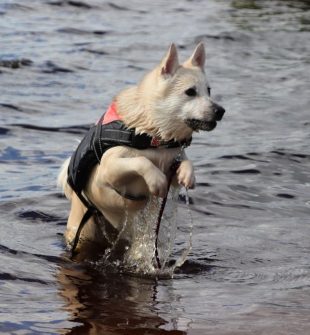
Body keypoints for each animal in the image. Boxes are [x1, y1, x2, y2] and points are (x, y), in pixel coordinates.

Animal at [58, 44, 224, 260]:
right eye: (190, 92)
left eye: (209, 91)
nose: (221, 111)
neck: (153, 134)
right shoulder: (108, 170)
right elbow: (141, 161)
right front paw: (156, 180)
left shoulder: (173, 163)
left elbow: (185, 162)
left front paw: (188, 174)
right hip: (84, 231)